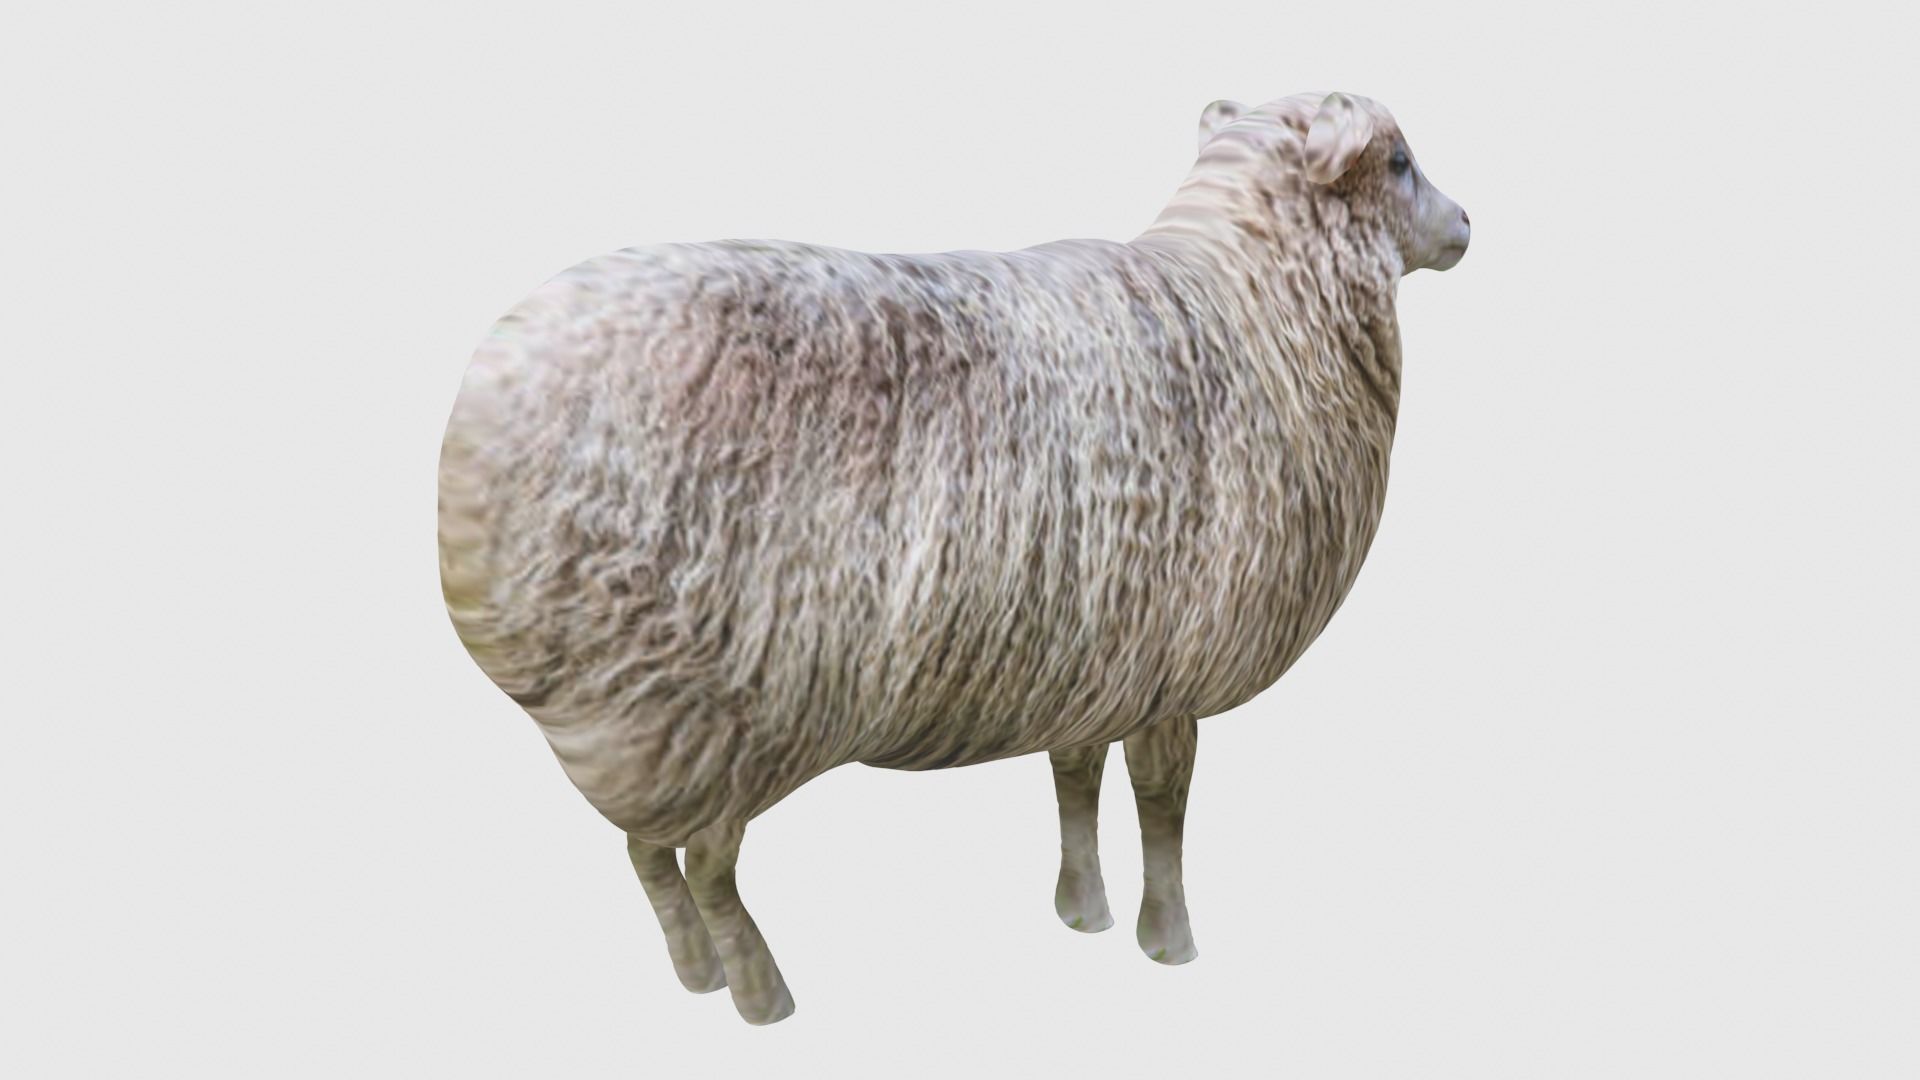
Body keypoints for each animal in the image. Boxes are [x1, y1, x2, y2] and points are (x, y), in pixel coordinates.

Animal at [439, 90, 1470, 1024]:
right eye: (1398, 161)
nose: (1466, 223)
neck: (1256, 305)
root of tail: (478, 427)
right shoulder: (1173, 668)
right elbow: (1163, 809)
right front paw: (1169, 941)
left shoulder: (1091, 655)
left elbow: (1075, 781)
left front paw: (1082, 911)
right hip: (714, 701)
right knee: (705, 864)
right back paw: (762, 995)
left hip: (646, 722)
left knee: (649, 856)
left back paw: (697, 976)